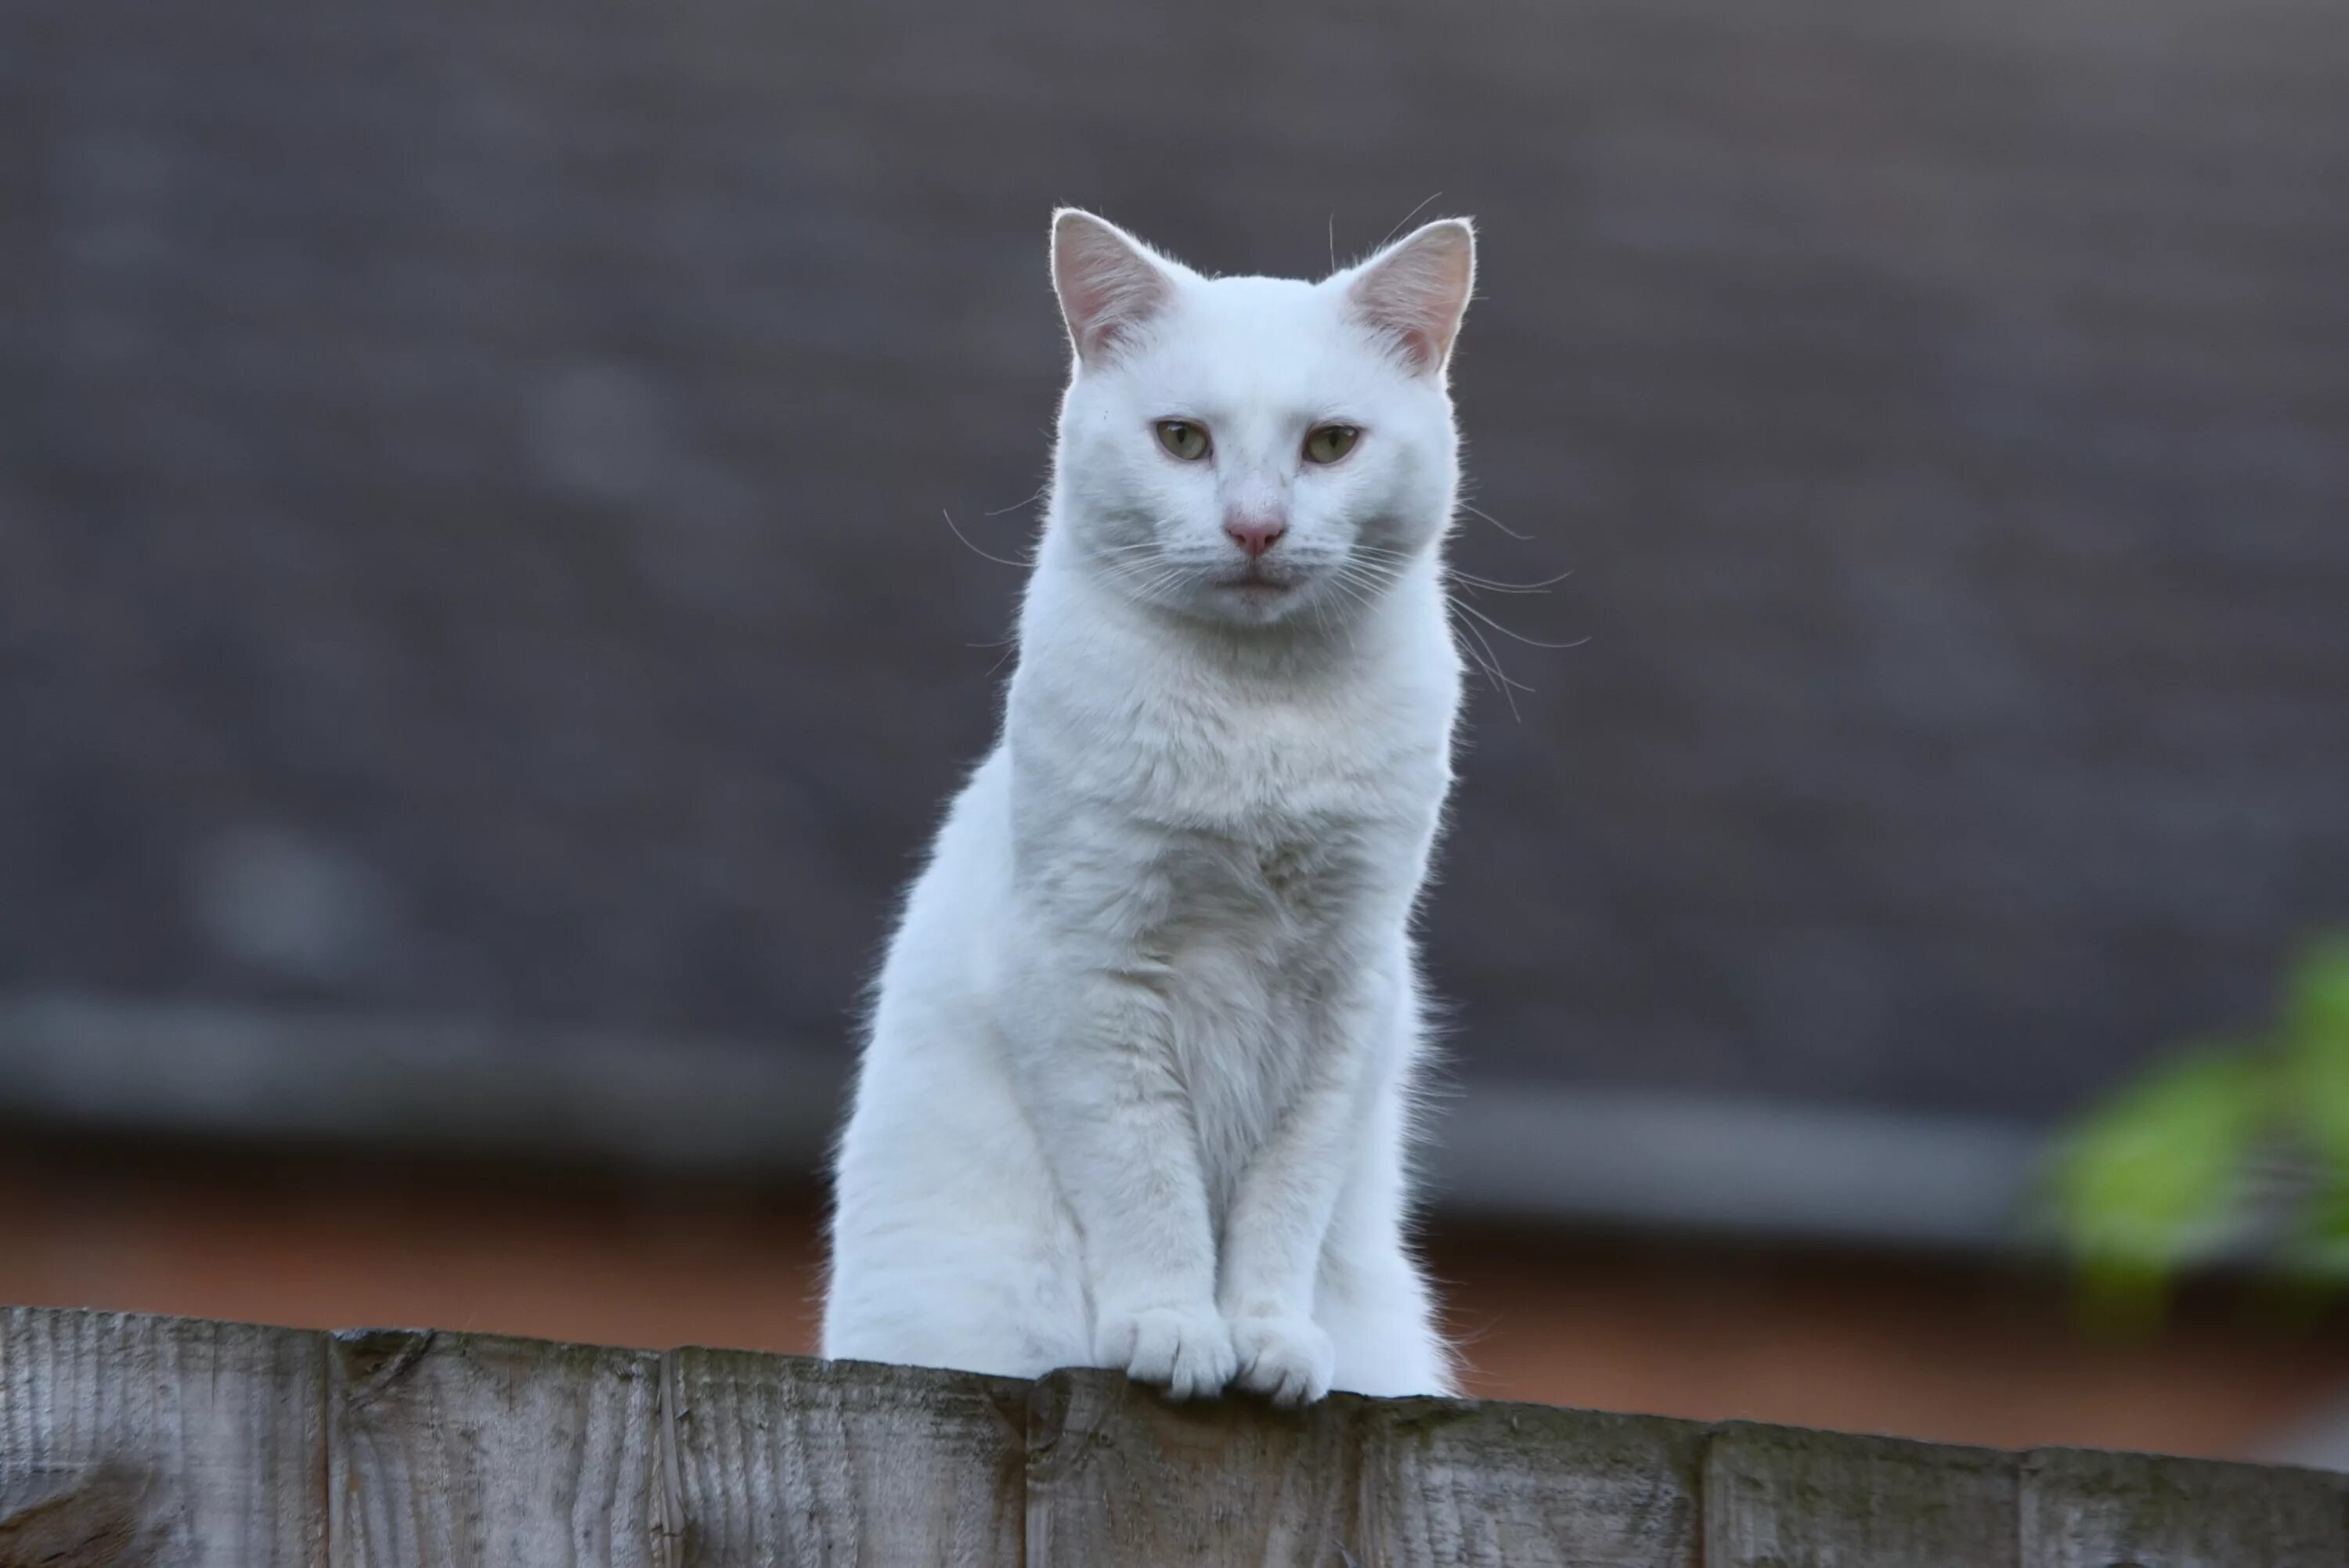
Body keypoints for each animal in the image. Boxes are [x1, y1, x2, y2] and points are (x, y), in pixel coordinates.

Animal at [827, 211, 1475, 1408]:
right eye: (1182, 439)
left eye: (1330, 444)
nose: (1256, 527)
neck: (1259, 714)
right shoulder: (1088, 968)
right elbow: (1146, 1180)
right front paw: (1173, 1328)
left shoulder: (1347, 991)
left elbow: (1283, 1200)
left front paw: (1268, 1338)